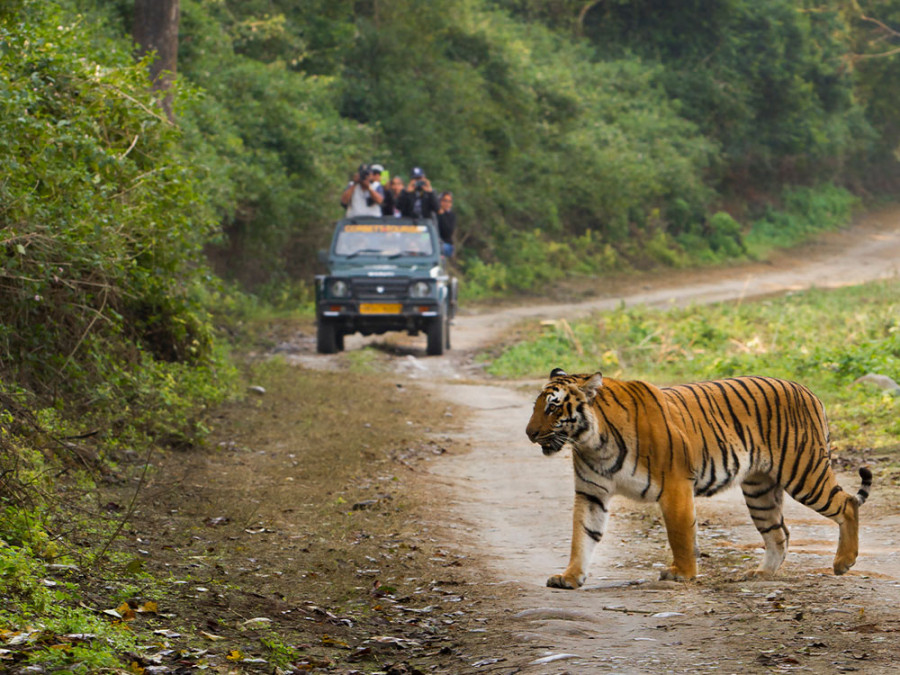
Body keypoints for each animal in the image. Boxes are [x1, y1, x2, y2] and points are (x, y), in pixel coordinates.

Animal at [528, 370, 872, 588]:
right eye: (536, 406)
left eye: (553, 407)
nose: (529, 433)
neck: (592, 442)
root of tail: (808, 391)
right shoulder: (591, 493)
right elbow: (582, 536)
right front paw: (570, 577)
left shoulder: (675, 485)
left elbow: (680, 534)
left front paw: (682, 573)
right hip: (760, 490)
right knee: (779, 533)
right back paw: (761, 574)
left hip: (804, 472)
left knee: (847, 504)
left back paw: (843, 562)